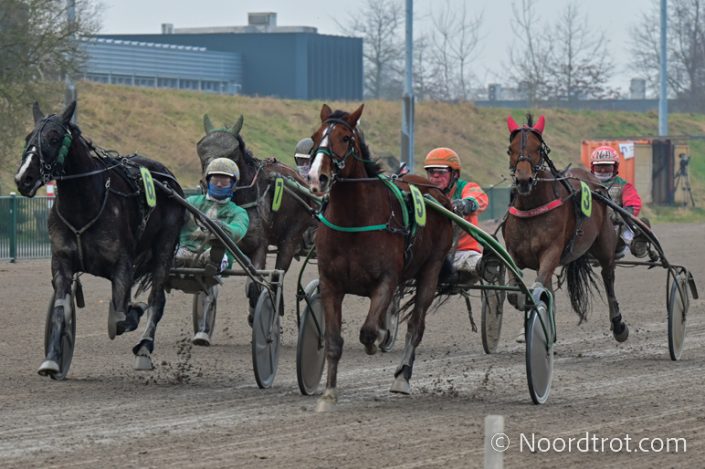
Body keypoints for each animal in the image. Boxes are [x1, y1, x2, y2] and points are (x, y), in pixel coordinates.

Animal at [14, 101, 185, 376]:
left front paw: (135, 311)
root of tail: (168, 177)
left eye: (54, 137)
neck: (84, 206)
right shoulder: (61, 262)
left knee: (156, 300)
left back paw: (145, 346)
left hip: (164, 248)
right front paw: (52, 359)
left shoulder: (122, 264)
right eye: (28, 137)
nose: (23, 178)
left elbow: (120, 318)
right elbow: (61, 309)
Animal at [196, 114, 316, 316]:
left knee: (278, 275)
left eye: (232, 152)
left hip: (292, 236)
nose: (210, 180)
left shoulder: (260, 245)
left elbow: (255, 287)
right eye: (201, 148)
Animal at [307, 104, 454, 411]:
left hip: (431, 269)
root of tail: (436, 192)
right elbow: (333, 341)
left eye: (345, 138)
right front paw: (328, 394)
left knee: (416, 325)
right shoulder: (330, 284)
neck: (355, 220)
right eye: (315, 135)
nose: (317, 178)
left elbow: (368, 331)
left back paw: (402, 377)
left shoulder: (385, 280)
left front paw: (379, 338)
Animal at [502, 114, 628, 341]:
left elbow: (537, 287)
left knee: (608, 276)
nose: (523, 180)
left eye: (538, 149)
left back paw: (618, 324)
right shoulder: (513, 252)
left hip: (604, 243)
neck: (532, 207)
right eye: (510, 149)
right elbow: (515, 293)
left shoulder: (551, 251)